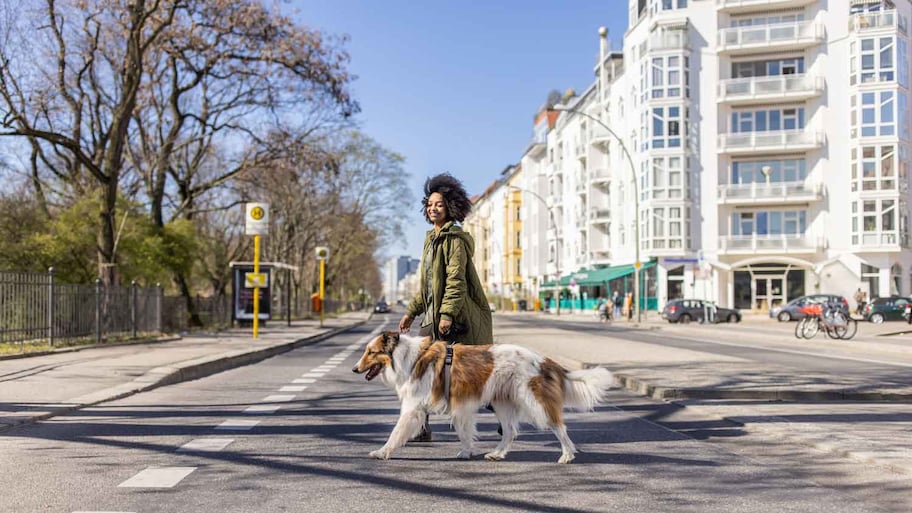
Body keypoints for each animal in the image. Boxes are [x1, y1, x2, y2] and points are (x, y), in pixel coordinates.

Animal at [352, 330, 616, 462]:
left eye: (371, 352)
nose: (354, 369)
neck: (409, 358)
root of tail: (545, 360)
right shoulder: (461, 408)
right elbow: (464, 432)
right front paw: (467, 452)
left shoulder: (413, 408)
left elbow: (396, 433)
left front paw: (382, 452)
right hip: (503, 404)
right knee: (510, 432)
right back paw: (497, 454)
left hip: (534, 402)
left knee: (559, 426)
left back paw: (567, 455)